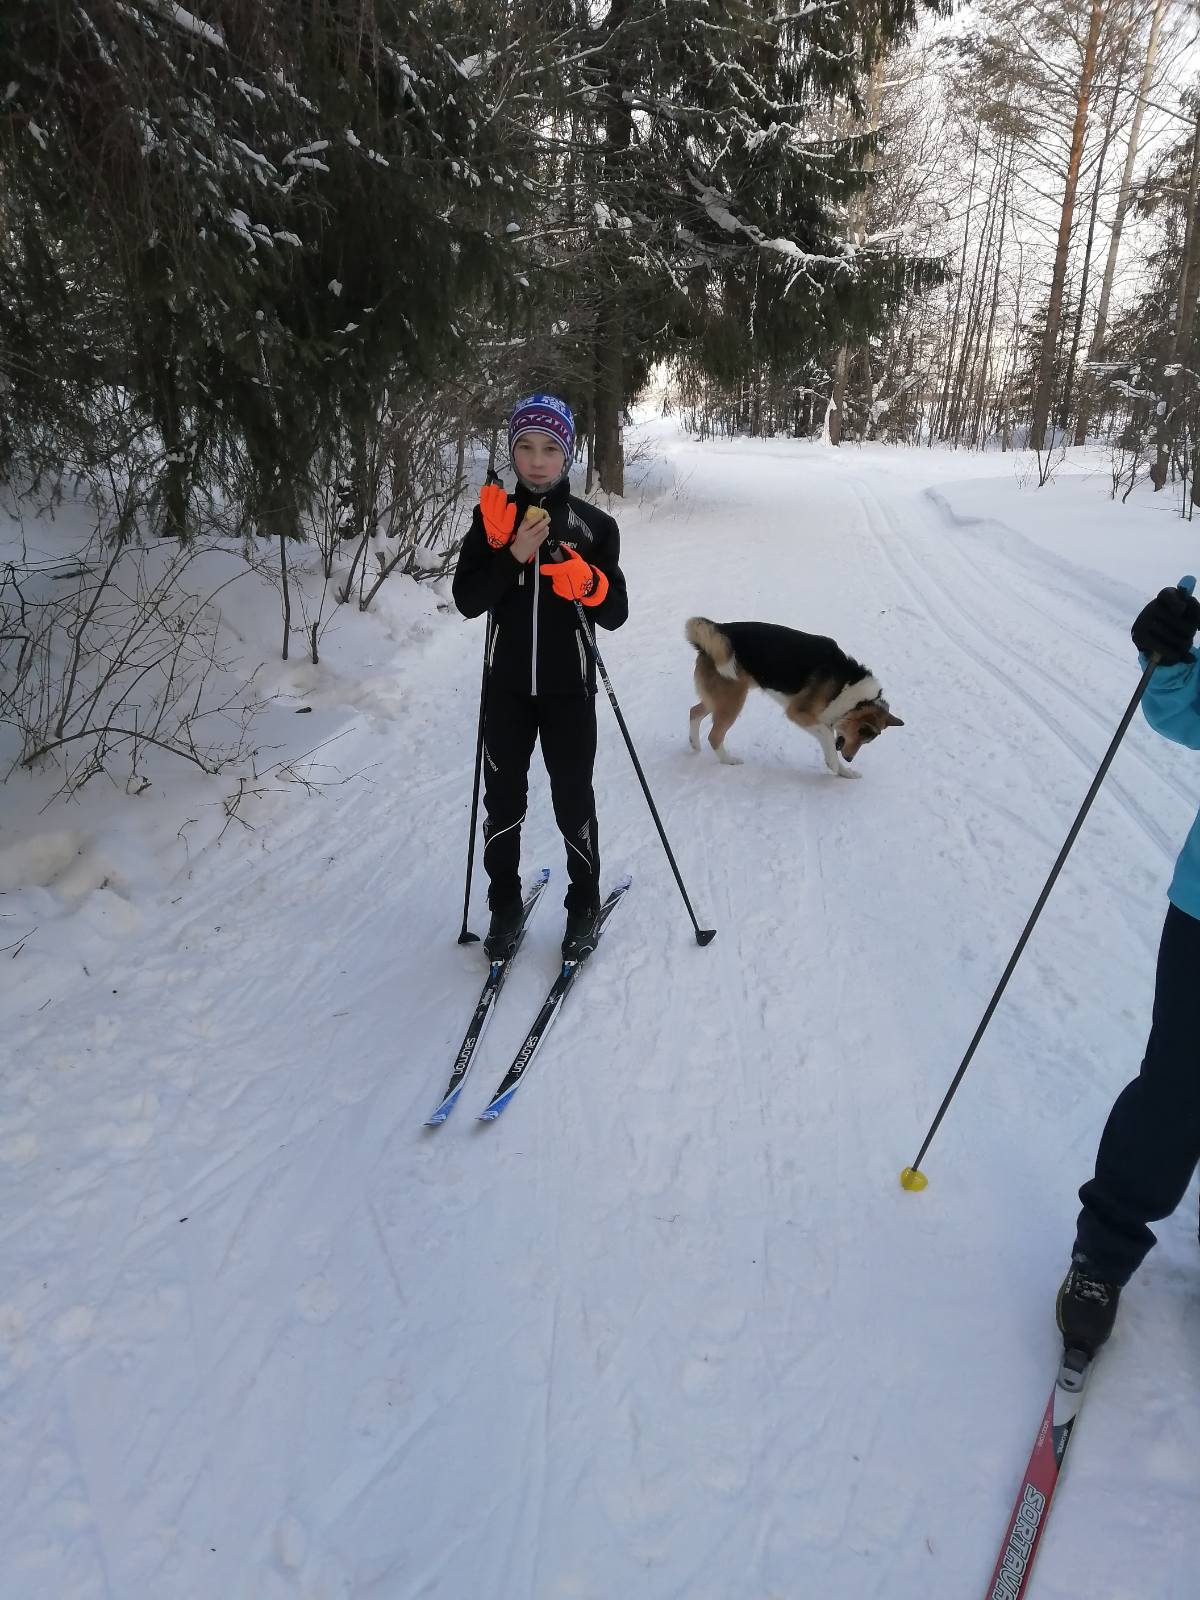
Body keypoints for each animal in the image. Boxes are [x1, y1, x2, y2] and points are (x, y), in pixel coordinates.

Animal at [684, 614, 902, 777]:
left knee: (694, 712)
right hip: (733, 700)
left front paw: (844, 771)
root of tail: (719, 630)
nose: (849, 758)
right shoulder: (798, 713)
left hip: (719, 699)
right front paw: (834, 764)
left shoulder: (825, 719)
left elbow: (829, 740)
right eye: (861, 732)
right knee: (714, 736)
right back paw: (729, 760)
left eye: (866, 740)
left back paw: (695, 745)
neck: (851, 692)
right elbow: (827, 737)